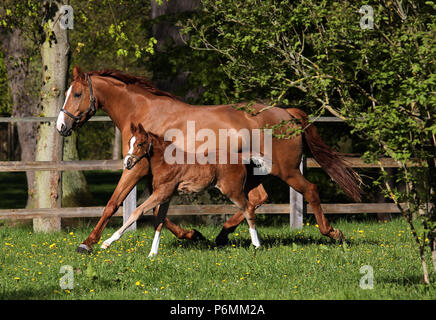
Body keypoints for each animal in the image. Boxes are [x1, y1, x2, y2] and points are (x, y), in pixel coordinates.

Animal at [100, 124, 260, 256]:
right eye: (129, 143)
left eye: (140, 143)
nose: (127, 163)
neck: (165, 163)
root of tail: (240, 159)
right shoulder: (166, 197)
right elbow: (159, 221)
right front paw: (152, 254)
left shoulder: (161, 193)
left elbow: (137, 212)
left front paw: (107, 242)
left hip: (233, 192)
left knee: (248, 208)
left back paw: (256, 245)